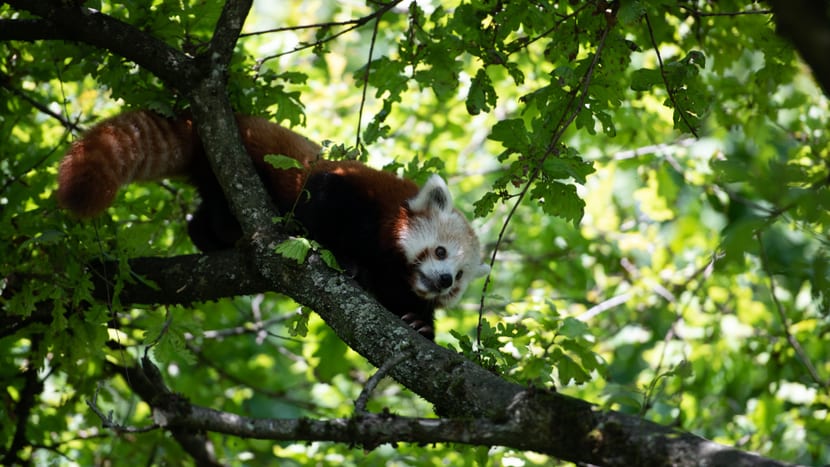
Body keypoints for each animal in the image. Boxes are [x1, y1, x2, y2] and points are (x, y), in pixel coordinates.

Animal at [58, 112, 490, 342]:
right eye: (440, 251)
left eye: (458, 278)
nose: (442, 280)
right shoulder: (351, 193)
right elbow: (320, 214)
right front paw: (347, 261)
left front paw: (420, 322)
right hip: (238, 162)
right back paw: (228, 234)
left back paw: (209, 237)